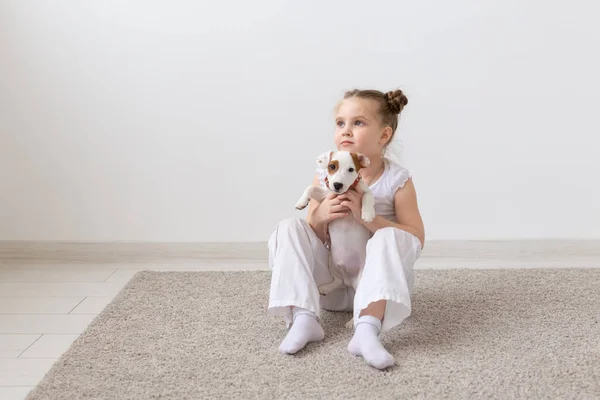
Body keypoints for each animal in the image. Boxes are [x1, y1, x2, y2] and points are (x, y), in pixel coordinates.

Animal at [296, 151, 376, 328]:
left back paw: (352, 322)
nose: (337, 185)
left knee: (358, 304)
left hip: (361, 281)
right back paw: (326, 287)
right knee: (338, 281)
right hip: (332, 263)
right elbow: (311, 187)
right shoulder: (325, 196)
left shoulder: (365, 191)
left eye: (351, 169)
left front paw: (367, 214)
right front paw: (301, 202)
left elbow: (368, 197)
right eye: (332, 166)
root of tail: (350, 281)